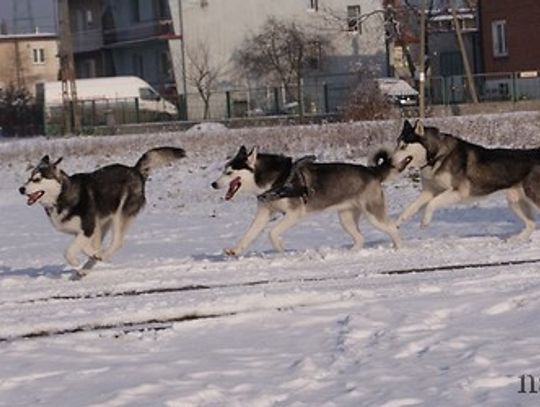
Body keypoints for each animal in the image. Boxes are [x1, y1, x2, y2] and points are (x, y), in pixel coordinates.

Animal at [19, 147, 186, 274]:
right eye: (29, 177)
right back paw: (86, 269)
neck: (63, 195)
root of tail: (135, 170)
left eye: (37, 179)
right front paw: (93, 256)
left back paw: (102, 257)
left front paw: (77, 261)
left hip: (119, 215)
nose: (21, 189)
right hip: (104, 221)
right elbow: (87, 248)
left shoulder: (88, 227)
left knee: (117, 242)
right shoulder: (87, 230)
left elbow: (69, 251)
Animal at [213, 146, 402, 255]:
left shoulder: (294, 213)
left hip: (372, 214)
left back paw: (400, 248)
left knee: (392, 227)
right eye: (223, 170)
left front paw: (280, 249)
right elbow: (249, 234)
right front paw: (235, 250)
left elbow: (272, 232)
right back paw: (349, 253)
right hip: (346, 218)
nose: (213, 184)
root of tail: (372, 171)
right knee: (360, 238)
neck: (276, 181)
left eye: (229, 172)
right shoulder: (264, 212)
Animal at [390, 118, 540, 239]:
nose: (389, 161)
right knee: (531, 224)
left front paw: (425, 221)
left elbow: (432, 204)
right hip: (514, 200)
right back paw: (516, 240)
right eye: (396, 144)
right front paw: (396, 224)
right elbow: (410, 208)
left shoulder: (457, 192)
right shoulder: (429, 192)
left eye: (403, 146)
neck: (437, 156)